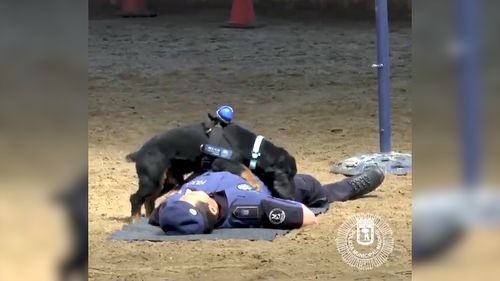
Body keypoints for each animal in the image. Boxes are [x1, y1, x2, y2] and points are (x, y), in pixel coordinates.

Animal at [127, 116, 296, 221]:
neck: (252, 148)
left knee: (149, 200)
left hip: (166, 182)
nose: (293, 197)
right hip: (152, 180)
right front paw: (255, 183)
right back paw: (135, 221)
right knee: (136, 198)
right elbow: (245, 170)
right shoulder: (222, 162)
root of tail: (139, 153)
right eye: (287, 174)